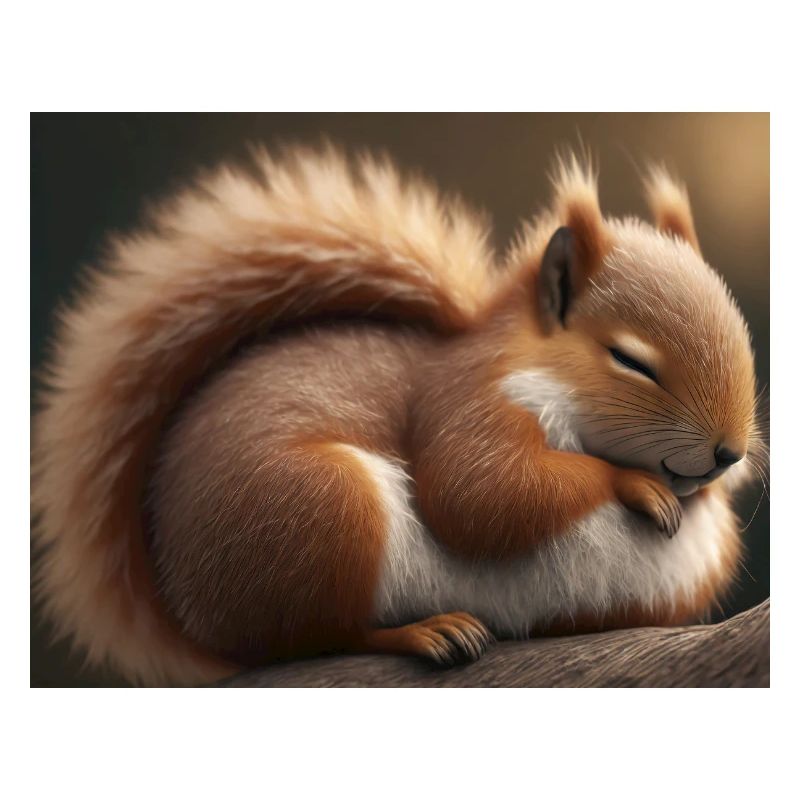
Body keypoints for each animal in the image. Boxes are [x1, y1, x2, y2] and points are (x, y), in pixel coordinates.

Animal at [32, 146, 765, 686]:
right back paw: (427, 631)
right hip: (321, 510)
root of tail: (188, 604)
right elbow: (481, 493)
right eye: (629, 360)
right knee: (320, 636)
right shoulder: (464, 403)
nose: (728, 452)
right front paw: (634, 484)